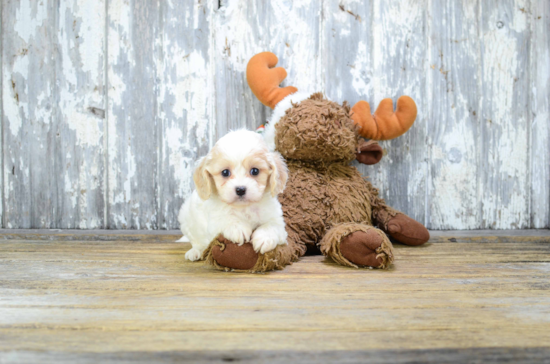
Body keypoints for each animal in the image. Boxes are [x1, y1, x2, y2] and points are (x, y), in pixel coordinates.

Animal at [179, 129, 292, 260]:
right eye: (225, 172)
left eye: (255, 171)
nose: (240, 189)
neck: (244, 207)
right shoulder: (215, 220)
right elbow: (226, 218)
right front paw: (238, 228)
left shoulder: (277, 221)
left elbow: (272, 226)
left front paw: (264, 238)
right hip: (186, 219)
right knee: (196, 241)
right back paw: (195, 252)